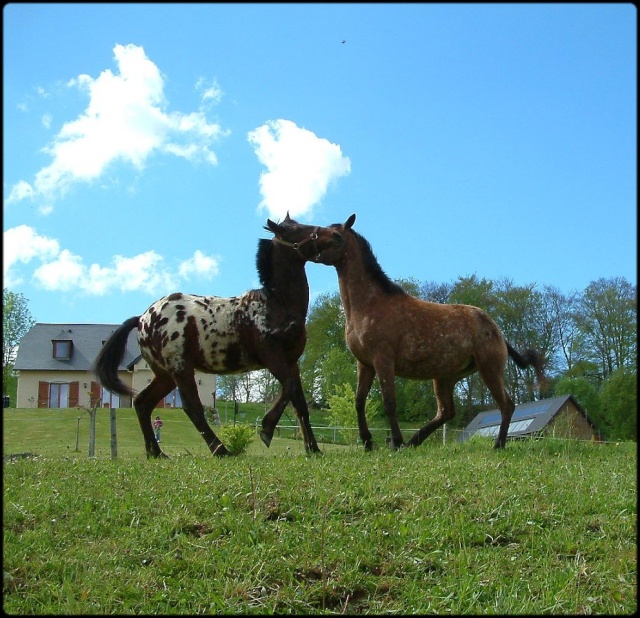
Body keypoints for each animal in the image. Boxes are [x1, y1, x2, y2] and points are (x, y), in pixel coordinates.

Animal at [94, 214, 344, 454]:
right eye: (296, 229)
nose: (336, 234)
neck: (277, 303)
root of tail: (142, 318)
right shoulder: (272, 357)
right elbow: (289, 388)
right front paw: (266, 429)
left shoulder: (292, 361)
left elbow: (300, 404)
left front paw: (313, 448)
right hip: (181, 368)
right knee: (191, 408)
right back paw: (221, 449)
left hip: (164, 375)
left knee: (143, 403)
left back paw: (156, 452)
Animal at [316, 214, 544, 450]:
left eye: (336, 235)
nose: (312, 240)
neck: (370, 304)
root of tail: (496, 330)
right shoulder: (365, 364)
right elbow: (359, 401)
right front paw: (369, 443)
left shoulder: (383, 360)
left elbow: (389, 403)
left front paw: (396, 442)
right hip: (446, 377)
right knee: (446, 412)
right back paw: (414, 441)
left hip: (489, 369)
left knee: (506, 405)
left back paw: (497, 444)